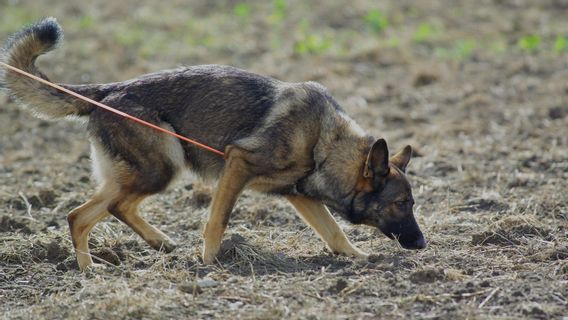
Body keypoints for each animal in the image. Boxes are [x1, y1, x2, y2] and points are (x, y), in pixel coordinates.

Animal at [0, 18, 426, 270]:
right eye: (401, 204)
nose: (422, 244)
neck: (325, 144)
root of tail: (108, 90)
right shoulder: (237, 165)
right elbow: (217, 221)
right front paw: (208, 261)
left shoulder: (299, 195)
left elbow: (334, 232)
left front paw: (357, 257)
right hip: (162, 168)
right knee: (103, 210)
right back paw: (105, 263)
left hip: (140, 174)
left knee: (85, 214)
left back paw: (108, 262)